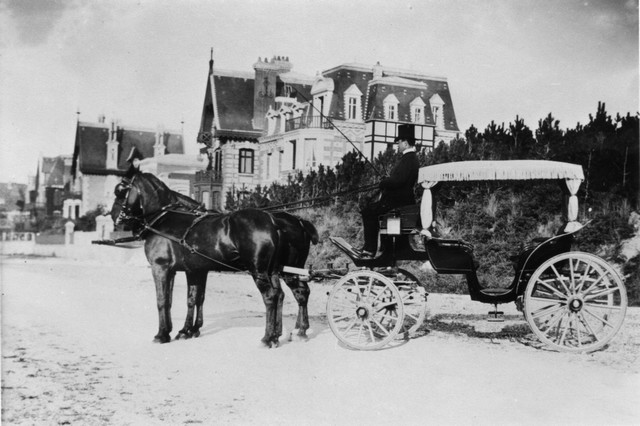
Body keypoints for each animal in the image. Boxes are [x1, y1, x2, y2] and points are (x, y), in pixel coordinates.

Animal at [112, 168, 318, 348]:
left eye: (121, 190)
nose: (116, 218)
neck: (165, 219)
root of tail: (274, 221)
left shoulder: (161, 268)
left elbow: (163, 300)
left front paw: (162, 334)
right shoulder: (195, 270)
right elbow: (194, 298)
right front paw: (188, 330)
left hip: (259, 271)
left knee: (271, 296)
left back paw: (268, 338)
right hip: (279, 271)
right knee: (295, 293)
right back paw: (290, 333)